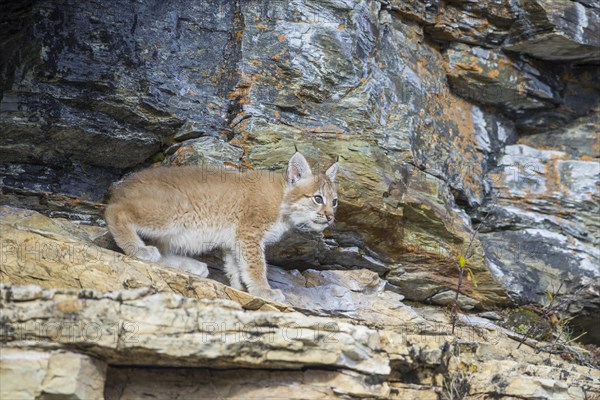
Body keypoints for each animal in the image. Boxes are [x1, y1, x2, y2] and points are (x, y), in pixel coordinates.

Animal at [106, 152, 338, 302]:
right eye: (318, 199)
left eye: (334, 202)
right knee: (114, 210)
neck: (283, 201)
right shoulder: (249, 233)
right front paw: (264, 291)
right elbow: (256, 266)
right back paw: (138, 248)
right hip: (173, 213)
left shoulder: (235, 239)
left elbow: (236, 265)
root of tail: (124, 184)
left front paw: (240, 287)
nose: (330, 217)